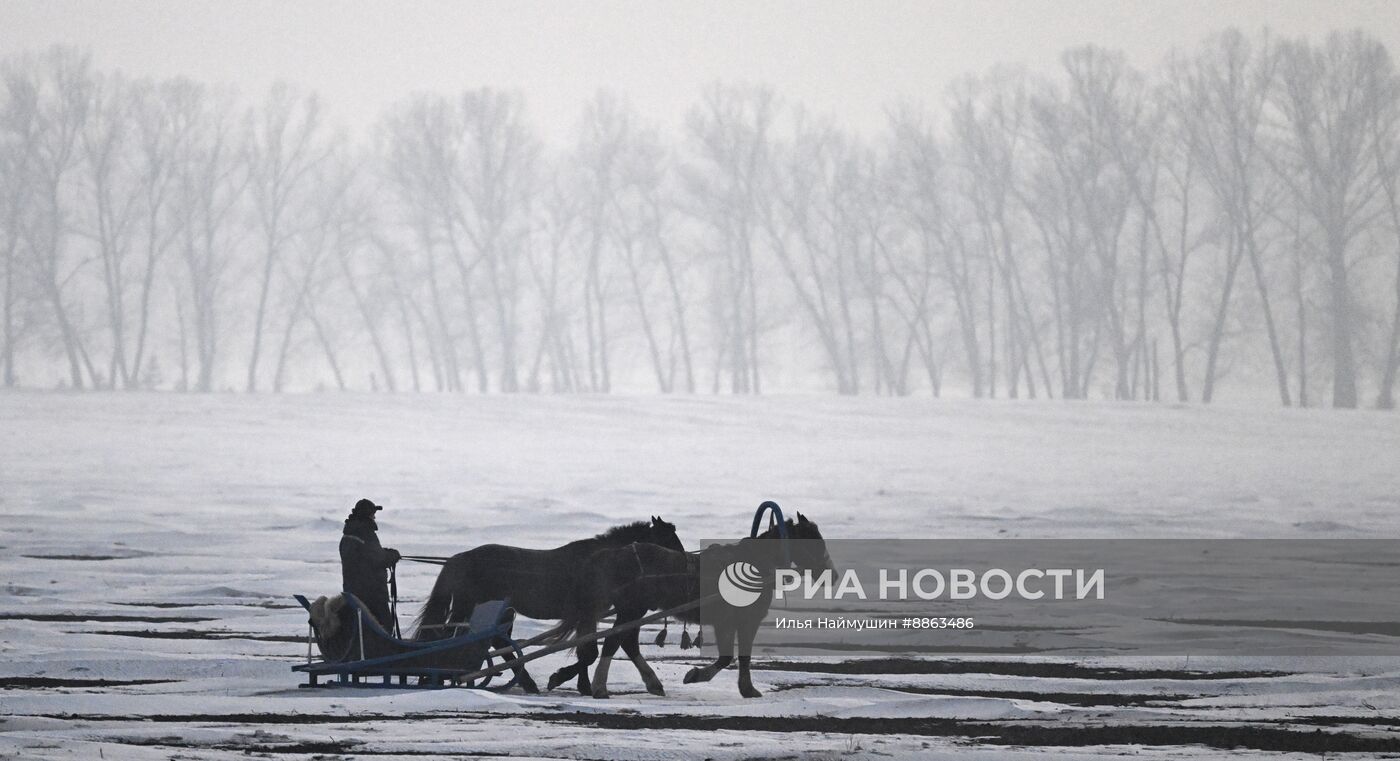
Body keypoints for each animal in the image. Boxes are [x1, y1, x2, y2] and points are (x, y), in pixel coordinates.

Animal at [408, 520, 683, 693]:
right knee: (449, 637)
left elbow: (586, 650)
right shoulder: (586, 612)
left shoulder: (588, 614)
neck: (605, 560)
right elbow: (589, 652)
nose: (684, 564)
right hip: (468, 606)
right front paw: (559, 678)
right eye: (670, 540)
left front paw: (582, 685)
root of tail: (458, 559)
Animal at [546, 509, 828, 699]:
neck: (754, 563)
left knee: (627, 642)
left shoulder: (731, 621)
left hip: (634, 610)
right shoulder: (744, 620)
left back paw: (650, 683)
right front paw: (735, 686)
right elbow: (734, 656)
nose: (831, 573)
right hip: (631, 609)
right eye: (813, 541)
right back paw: (599, 686)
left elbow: (732, 657)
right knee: (615, 642)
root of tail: (611, 554)